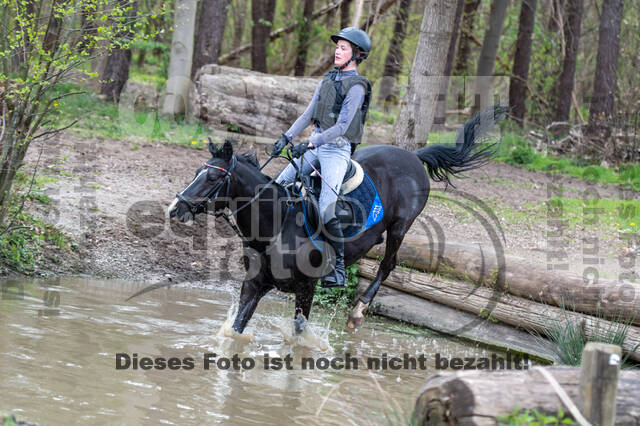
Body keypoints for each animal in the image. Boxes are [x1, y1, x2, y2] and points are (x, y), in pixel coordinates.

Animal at [169, 105, 504, 332]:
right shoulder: (254, 286)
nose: (175, 209)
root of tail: (413, 156)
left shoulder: (306, 289)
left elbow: (299, 336)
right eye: (197, 171)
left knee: (388, 265)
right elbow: (237, 330)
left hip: (400, 227)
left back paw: (357, 313)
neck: (276, 229)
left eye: (213, 178)